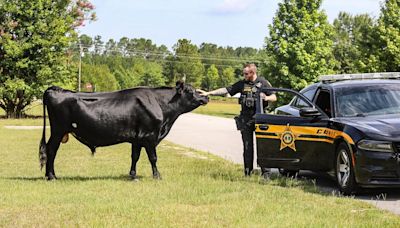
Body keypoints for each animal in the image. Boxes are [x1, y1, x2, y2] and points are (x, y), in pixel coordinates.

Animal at [38, 81, 209, 180]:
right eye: (190, 91)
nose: (206, 97)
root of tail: (56, 89)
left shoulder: (137, 138)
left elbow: (135, 157)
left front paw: (132, 176)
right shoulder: (150, 136)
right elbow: (153, 158)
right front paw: (157, 176)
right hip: (58, 130)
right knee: (51, 150)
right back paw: (51, 176)